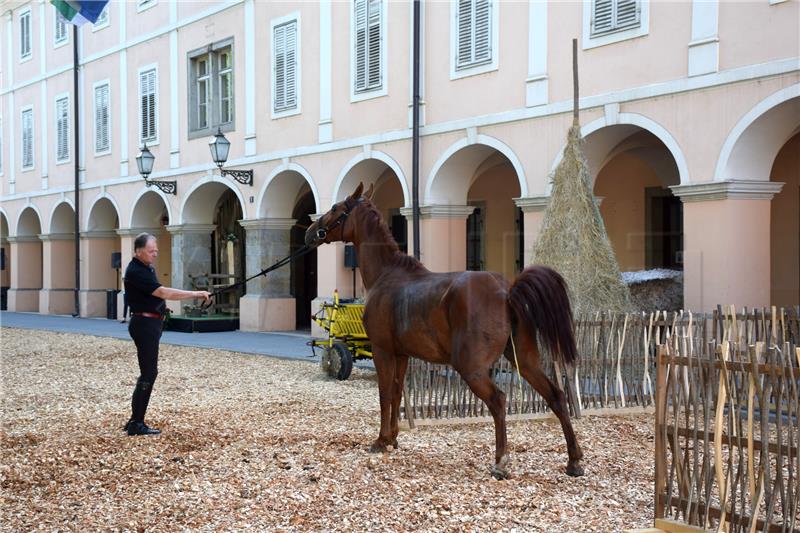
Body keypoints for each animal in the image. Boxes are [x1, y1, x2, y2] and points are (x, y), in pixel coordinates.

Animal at [304, 182, 580, 478]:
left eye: (335, 208)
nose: (310, 232)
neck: (387, 274)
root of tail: (507, 290)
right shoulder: (401, 354)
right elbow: (398, 391)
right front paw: (392, 438)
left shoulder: (382, 350)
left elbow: (385, 392)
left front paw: (380, 440)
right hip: (525, 361)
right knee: (556, 395)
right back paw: (574, 461)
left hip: (471, 367)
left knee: (498, 400)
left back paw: (501, 461)